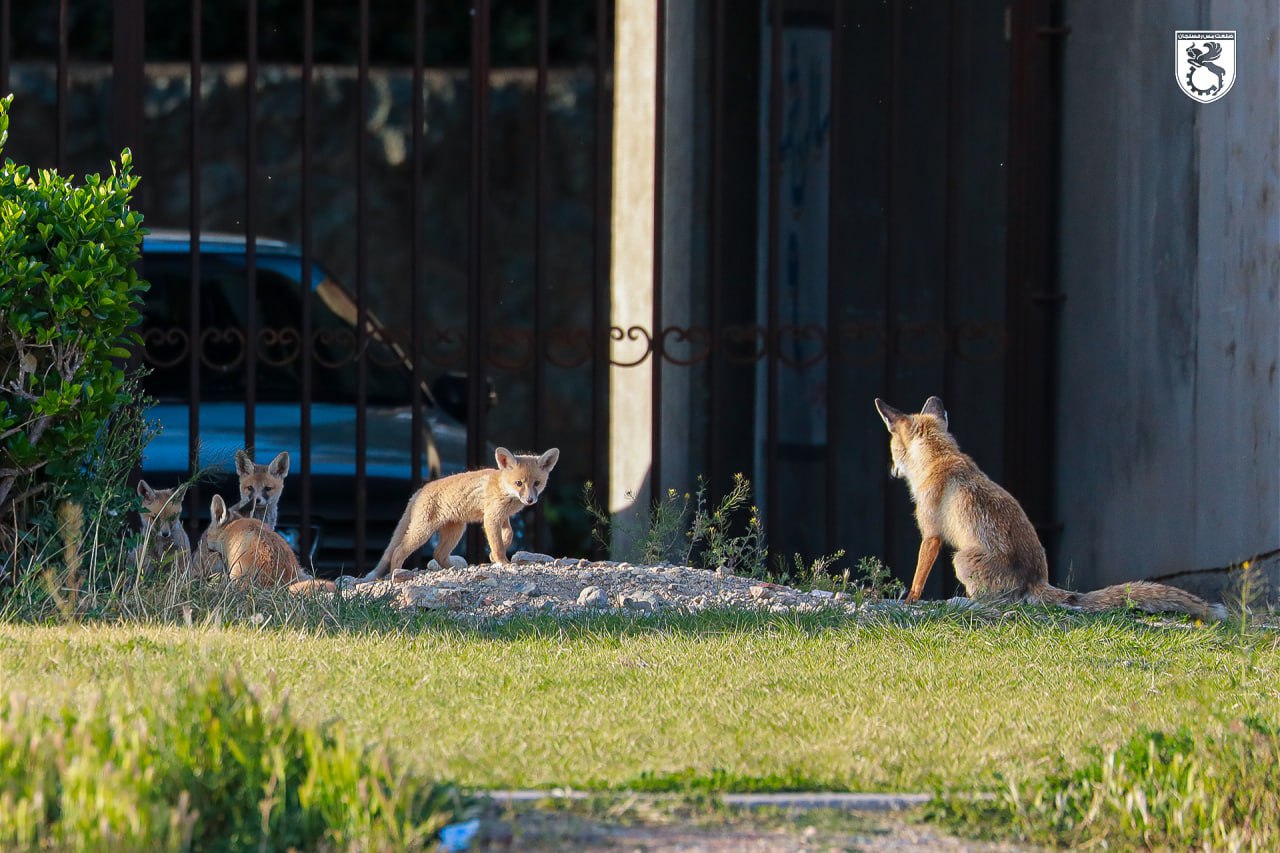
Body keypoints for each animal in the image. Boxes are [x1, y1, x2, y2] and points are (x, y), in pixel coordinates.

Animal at [875, 391, 1223, 617]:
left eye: (891, 448)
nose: (890, 470)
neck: (939, 459)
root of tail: (1035, 580)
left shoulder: (931, 534)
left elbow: (918, 578)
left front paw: (909, 603)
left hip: (961, 560)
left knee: (999, 604)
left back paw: (964, 604)